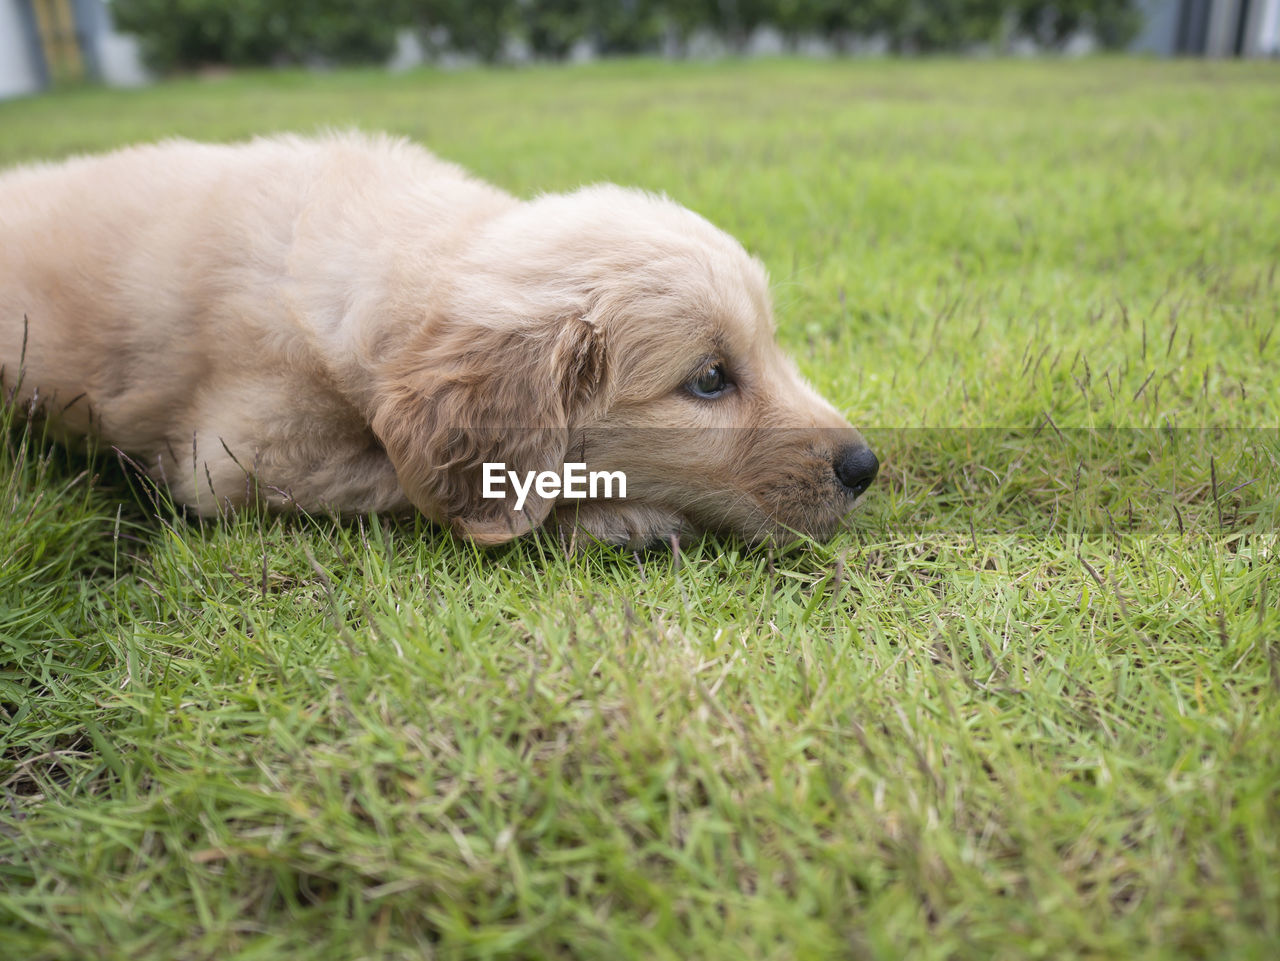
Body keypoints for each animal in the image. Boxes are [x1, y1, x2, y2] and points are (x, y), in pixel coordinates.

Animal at [0, 131, 875, 545]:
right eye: (708, 380)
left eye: (772, 347)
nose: (866, 466)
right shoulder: (240, 454)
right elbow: (410, 484)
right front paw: (615, 517)